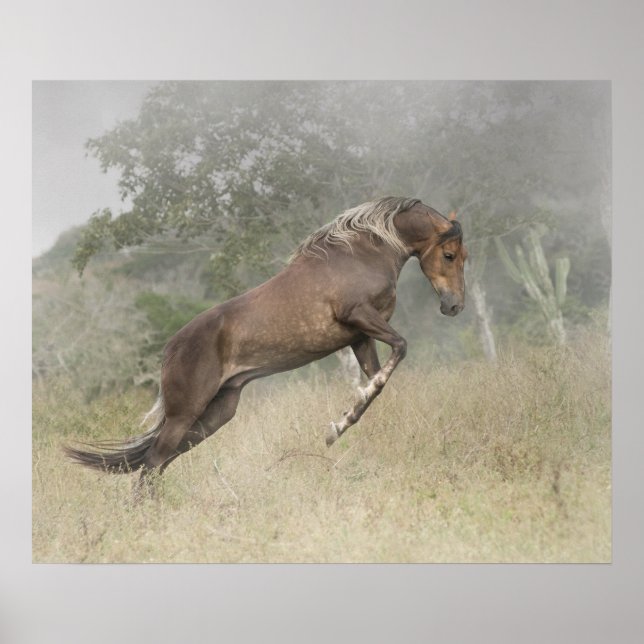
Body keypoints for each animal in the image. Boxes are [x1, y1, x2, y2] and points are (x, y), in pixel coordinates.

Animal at [65, 197, 467, 492]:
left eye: (464, 257)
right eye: (448, 255)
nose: (454, 306)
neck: (363, 252)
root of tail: (170, 348)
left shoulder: (360, 337)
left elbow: (375, 385)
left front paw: (338, 427)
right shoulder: (361, 318)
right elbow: (398, 351)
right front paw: (335, 428)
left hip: (216, 414)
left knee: (160, 462)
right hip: (186, 412)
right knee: (151, 464)